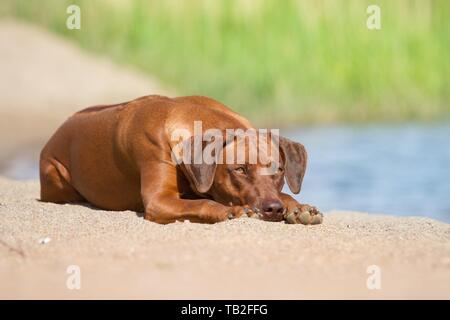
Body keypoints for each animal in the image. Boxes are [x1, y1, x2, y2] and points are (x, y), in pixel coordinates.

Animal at [38, 95, 320, 225]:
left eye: (279, 170)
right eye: (239, 169)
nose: (273, 209)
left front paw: (298, 207)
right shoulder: (158, 201)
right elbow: (203, 203)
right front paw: (231, 210)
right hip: (54, 172)